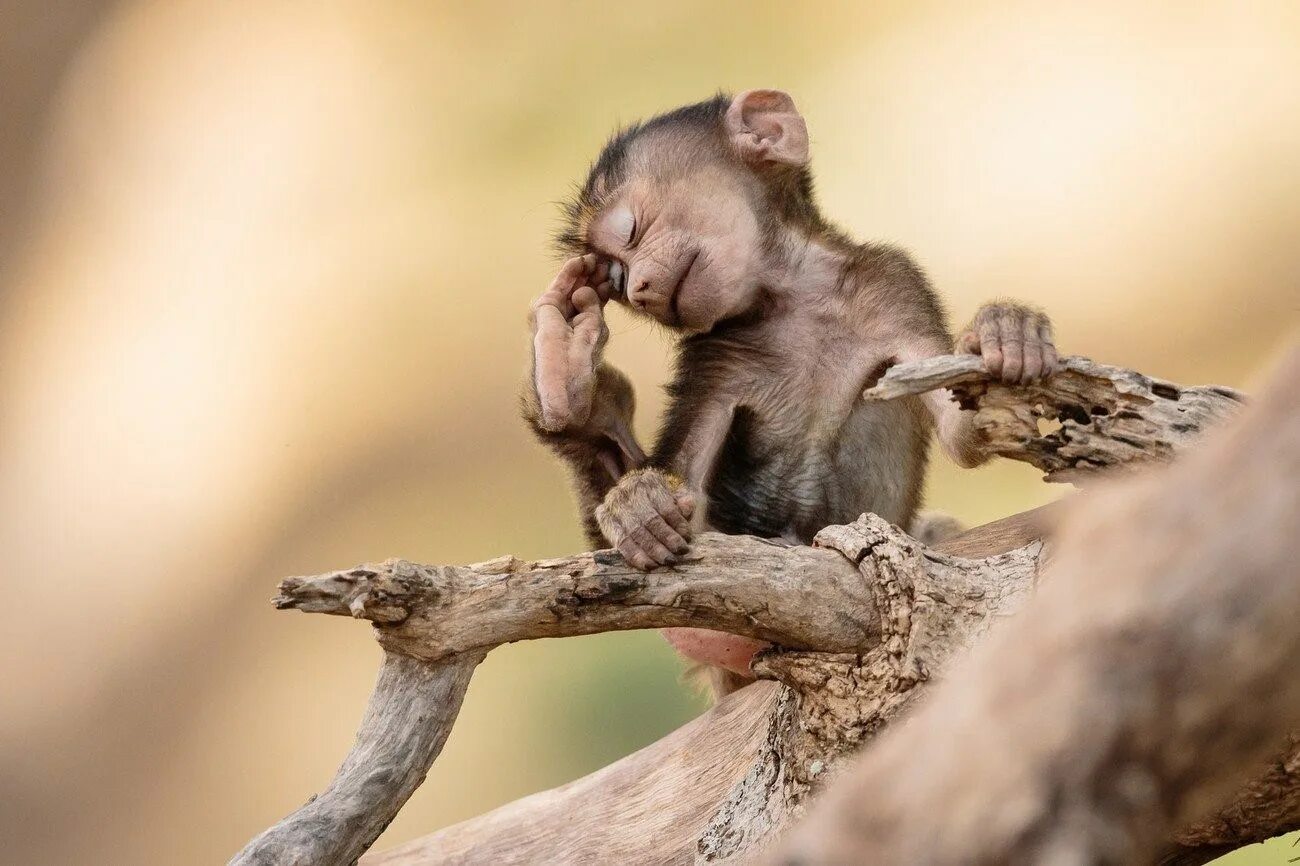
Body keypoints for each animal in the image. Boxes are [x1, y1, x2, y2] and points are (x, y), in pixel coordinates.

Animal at [520, 89, 1055, 696]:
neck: (792, 298)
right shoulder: (714, 356)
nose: (638, 289)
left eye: (629, 232)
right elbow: (684, 493)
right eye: (613, 273)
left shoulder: (894, 284)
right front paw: (579, 402)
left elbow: (962, 433)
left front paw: (1008, 332)